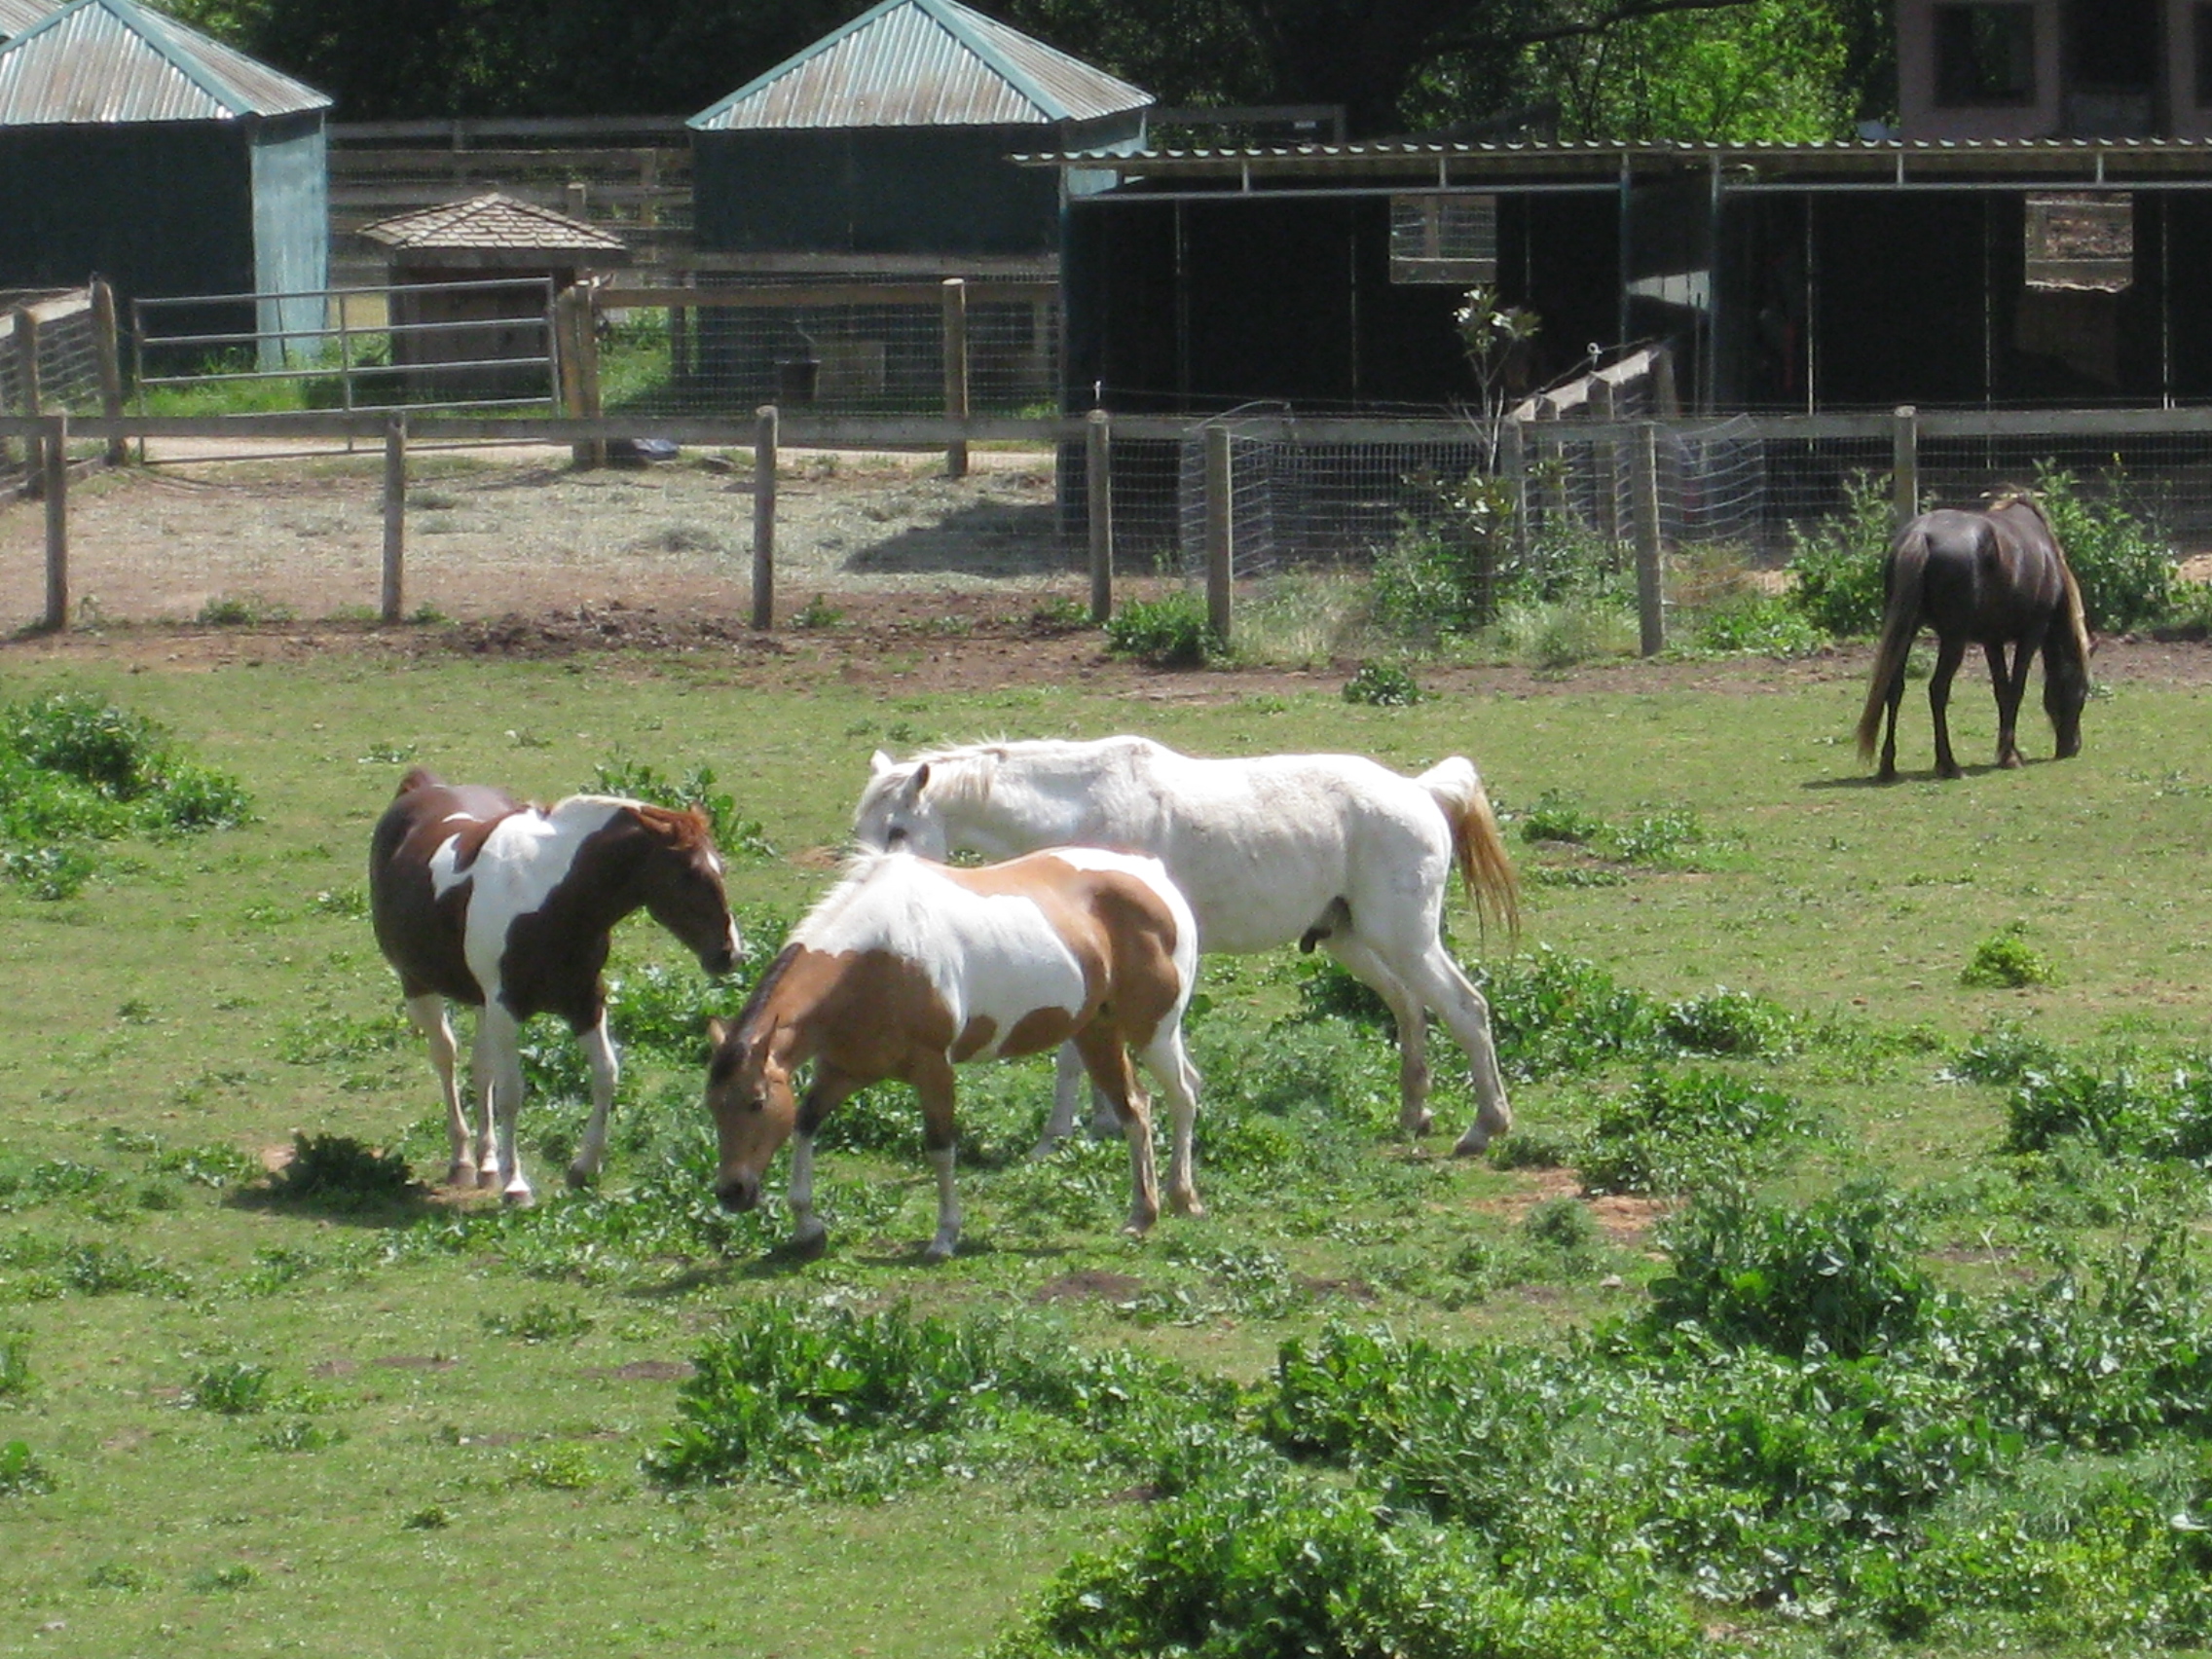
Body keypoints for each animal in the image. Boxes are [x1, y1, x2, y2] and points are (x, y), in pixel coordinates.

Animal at [367, 765, 738, 1212]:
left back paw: (487, 1163)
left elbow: (605, 1074)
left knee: (480, 1068)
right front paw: (516, 1185)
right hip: (419, 985)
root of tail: (421, 785)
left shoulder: (585, 1001)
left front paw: (583, 1168)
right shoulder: (506, 1009)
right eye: (689, 873)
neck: (549, 899)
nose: (730, 954)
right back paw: (463, 1161)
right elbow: (511, 1093)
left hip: (480, 1003)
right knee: (446, 1058)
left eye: (721, 867)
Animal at [708, 849, 1202, 1265]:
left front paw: (944, 1236)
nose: (732, 1192)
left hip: (1153, 1032)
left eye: (755, 1102)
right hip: (1097, 1033)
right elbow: (805, 1124)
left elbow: (940, 1146)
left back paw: (1184, 1197)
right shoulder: (841, 1069)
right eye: (713, 1107)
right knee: (1136, 1108)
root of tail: (1153, 875)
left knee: (1182, 1096)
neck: (874, 959)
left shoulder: (934, 1069)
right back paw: (1142, 1214)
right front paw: (807, 1226)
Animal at [849, 738, 1522, 1159]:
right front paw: (1100, 1123)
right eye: (863, 828)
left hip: (1405, 938)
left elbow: (1071, 1057)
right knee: (1411, 1007)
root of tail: (1421, 791)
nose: (867, 893)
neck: (1080, 812)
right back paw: (1415, 1113)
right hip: (1354, 941)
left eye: (899, 830)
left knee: (1465, 1010)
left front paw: (1055, 1137)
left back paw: (1484, 1128)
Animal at [1849, 493, 2087, 787]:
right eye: (2082, 691)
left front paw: (2007, 751)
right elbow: (2016, 690)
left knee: (1894, 688)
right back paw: (1948, 764)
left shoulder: (1992, 641)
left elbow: (2002, 691)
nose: (2072, 747)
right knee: (1937, 690)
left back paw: (1888, 767)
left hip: (1907, 630)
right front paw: (2010, 756)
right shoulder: (2031, 634)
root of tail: (1921, 535)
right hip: (1953, 639)